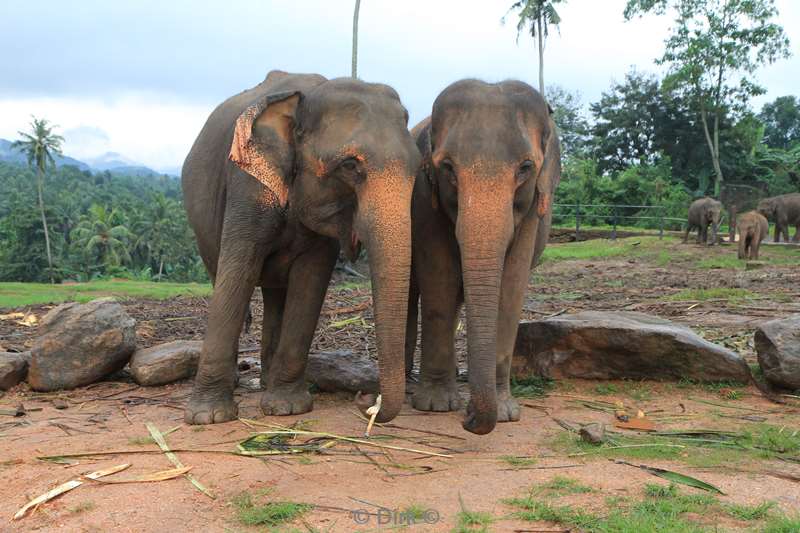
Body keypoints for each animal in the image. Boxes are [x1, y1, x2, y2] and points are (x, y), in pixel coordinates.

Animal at [181, 70, 418, 426]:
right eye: (350, 165)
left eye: (418, 166)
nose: (366, 400)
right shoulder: (247, 184)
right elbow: (237, 271)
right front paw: (208, 416)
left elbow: (310, 281)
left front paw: (287, 407)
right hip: (201, 229)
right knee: (222, 273)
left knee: (276, 294)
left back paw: (268, 383)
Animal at [406, 80, 564, 436]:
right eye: (448, 168)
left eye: (525, 168)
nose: (468, 418)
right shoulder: (423, 195)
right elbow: (439, 276)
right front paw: (435, 406)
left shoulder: (531, 210)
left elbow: (511, 285)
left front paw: (505, 413)